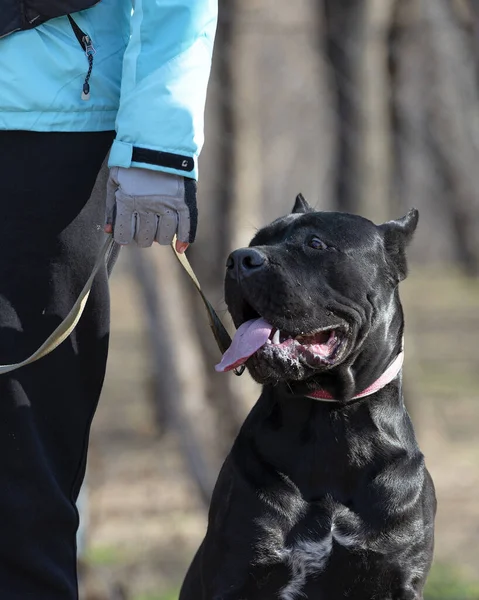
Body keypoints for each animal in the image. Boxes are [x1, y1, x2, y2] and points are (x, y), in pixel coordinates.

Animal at [179, 198, 436, 600]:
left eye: (315, 244)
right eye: (256, 241)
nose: (238, 259)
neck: (331, 421)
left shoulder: (398, 577)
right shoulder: (240, 573)